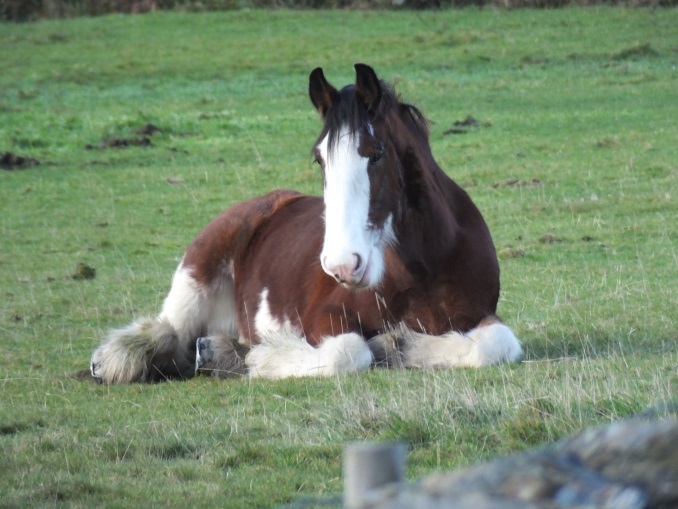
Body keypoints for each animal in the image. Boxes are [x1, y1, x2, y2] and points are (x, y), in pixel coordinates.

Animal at [90, 62, 524, 380]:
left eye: (376, 153)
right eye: (320, 159)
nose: (342, 266)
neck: (423, 269)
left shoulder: (479, 314)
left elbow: (499, 344)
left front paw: (403, 344)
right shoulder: (323, 320)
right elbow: (350, 352)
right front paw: (262, 360)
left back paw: (221, 351)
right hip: (194, 282)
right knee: (168, 332)